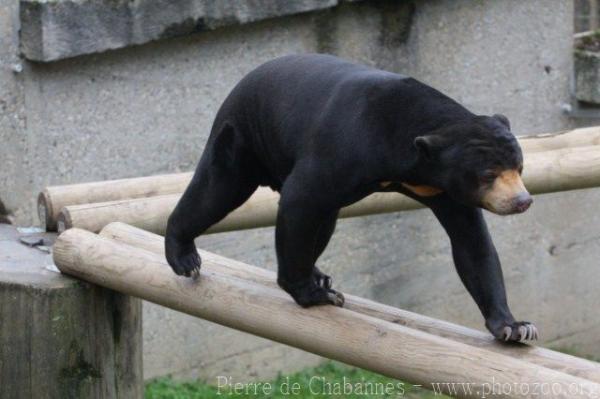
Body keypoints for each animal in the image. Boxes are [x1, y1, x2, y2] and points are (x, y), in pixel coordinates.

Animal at [163, 54, 536, 344]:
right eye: (488, 175)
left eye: (518, 167)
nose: (522, 201)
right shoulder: (344, 148)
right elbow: (300, 198)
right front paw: (313, 295)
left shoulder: (444, 187)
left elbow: (472, 243)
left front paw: (515, 327)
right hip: (242, 136)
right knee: (217, 191)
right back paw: (185, 258)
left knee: (324, 219)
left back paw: (319, 272)